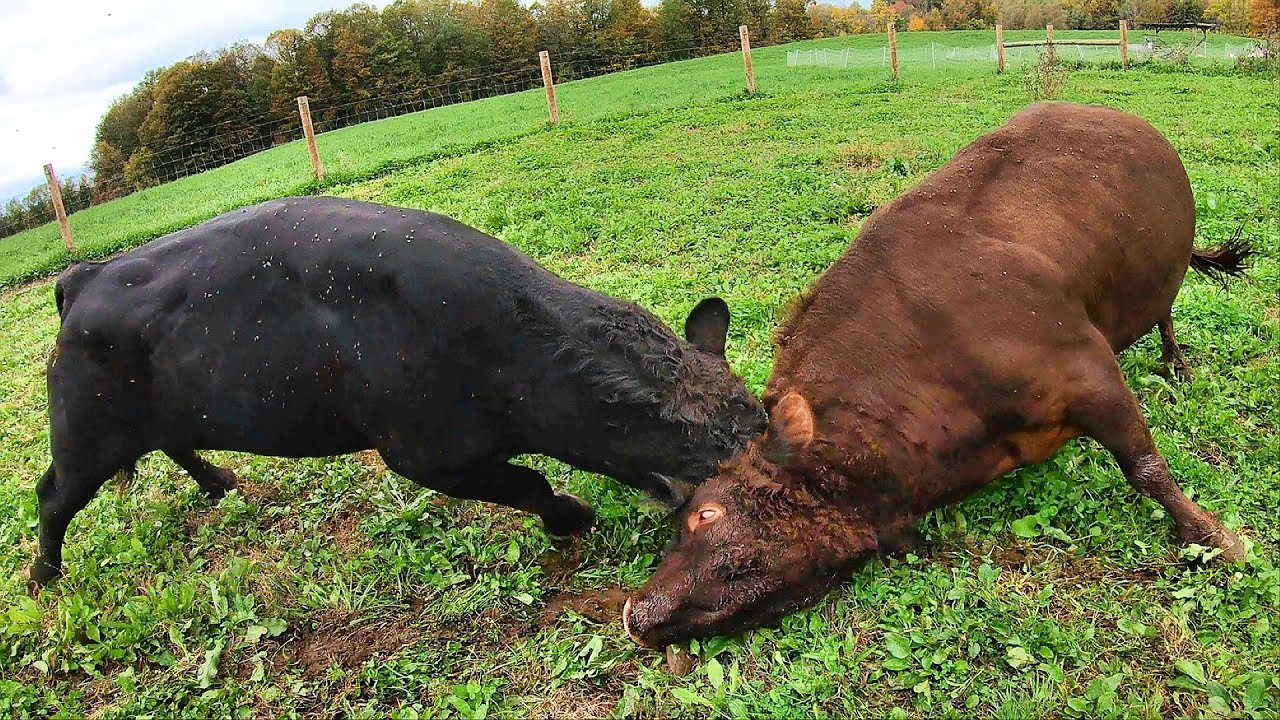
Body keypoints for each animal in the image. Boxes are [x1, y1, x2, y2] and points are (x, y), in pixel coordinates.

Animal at [30, 196, 766, 586]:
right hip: (84, 435)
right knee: (51, 496)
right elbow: (529, 484)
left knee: (175, 444)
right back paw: (46, 576)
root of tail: (84, 276)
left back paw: (220, 481)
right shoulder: (425, 455)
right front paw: (571, 518)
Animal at [622, 103, 1254, 648]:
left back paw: (1177, 364)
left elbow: (1145, 467)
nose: (636, 616)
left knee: (1165, 313)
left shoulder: (1086, 367)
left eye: (706, 513)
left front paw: (1217, 537)